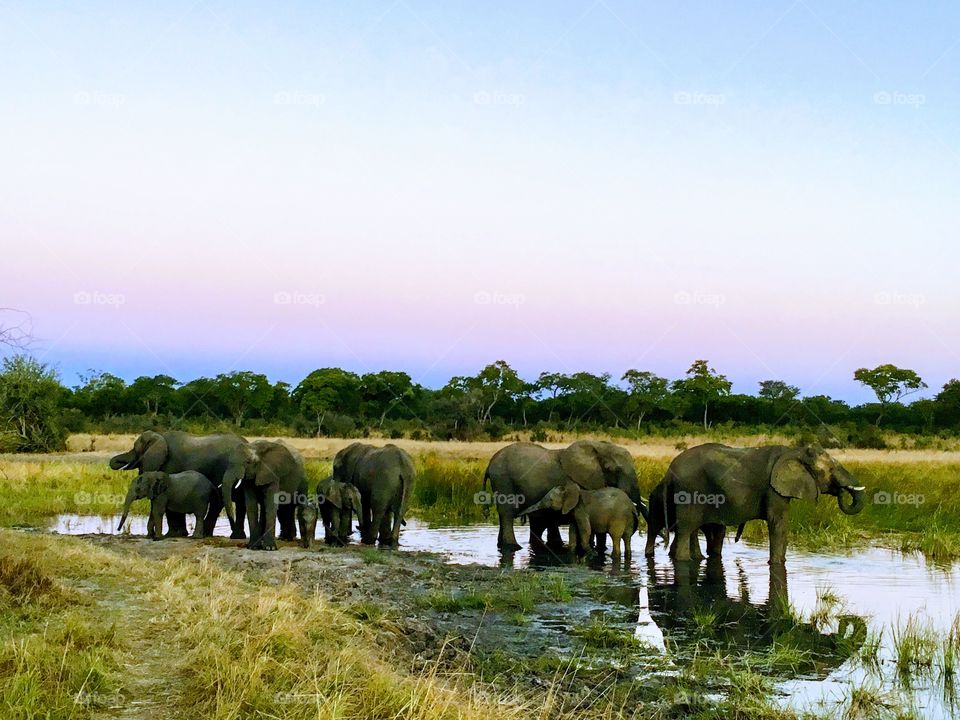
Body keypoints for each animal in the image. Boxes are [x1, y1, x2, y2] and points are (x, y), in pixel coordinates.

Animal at [110, 431, 248, 539]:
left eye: (135, 449)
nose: (118, 530)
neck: (159, 436)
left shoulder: (169, 465)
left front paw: (172, 535)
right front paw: (176, 534)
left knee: (218, 502)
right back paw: (234, 536)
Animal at [483, 440, 648, 553]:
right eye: (613, 469)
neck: (597, 446)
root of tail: (489, 464)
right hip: (503, 480)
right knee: (508, 512)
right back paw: (513, 547)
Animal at [644, 443, 866, 563]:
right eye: (830, 470)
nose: (841, 491)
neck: (794, 451)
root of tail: (669, 470)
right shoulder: (773, 489)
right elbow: (778, 523)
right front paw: (776, 564)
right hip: (690, 490)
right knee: (686, 529)